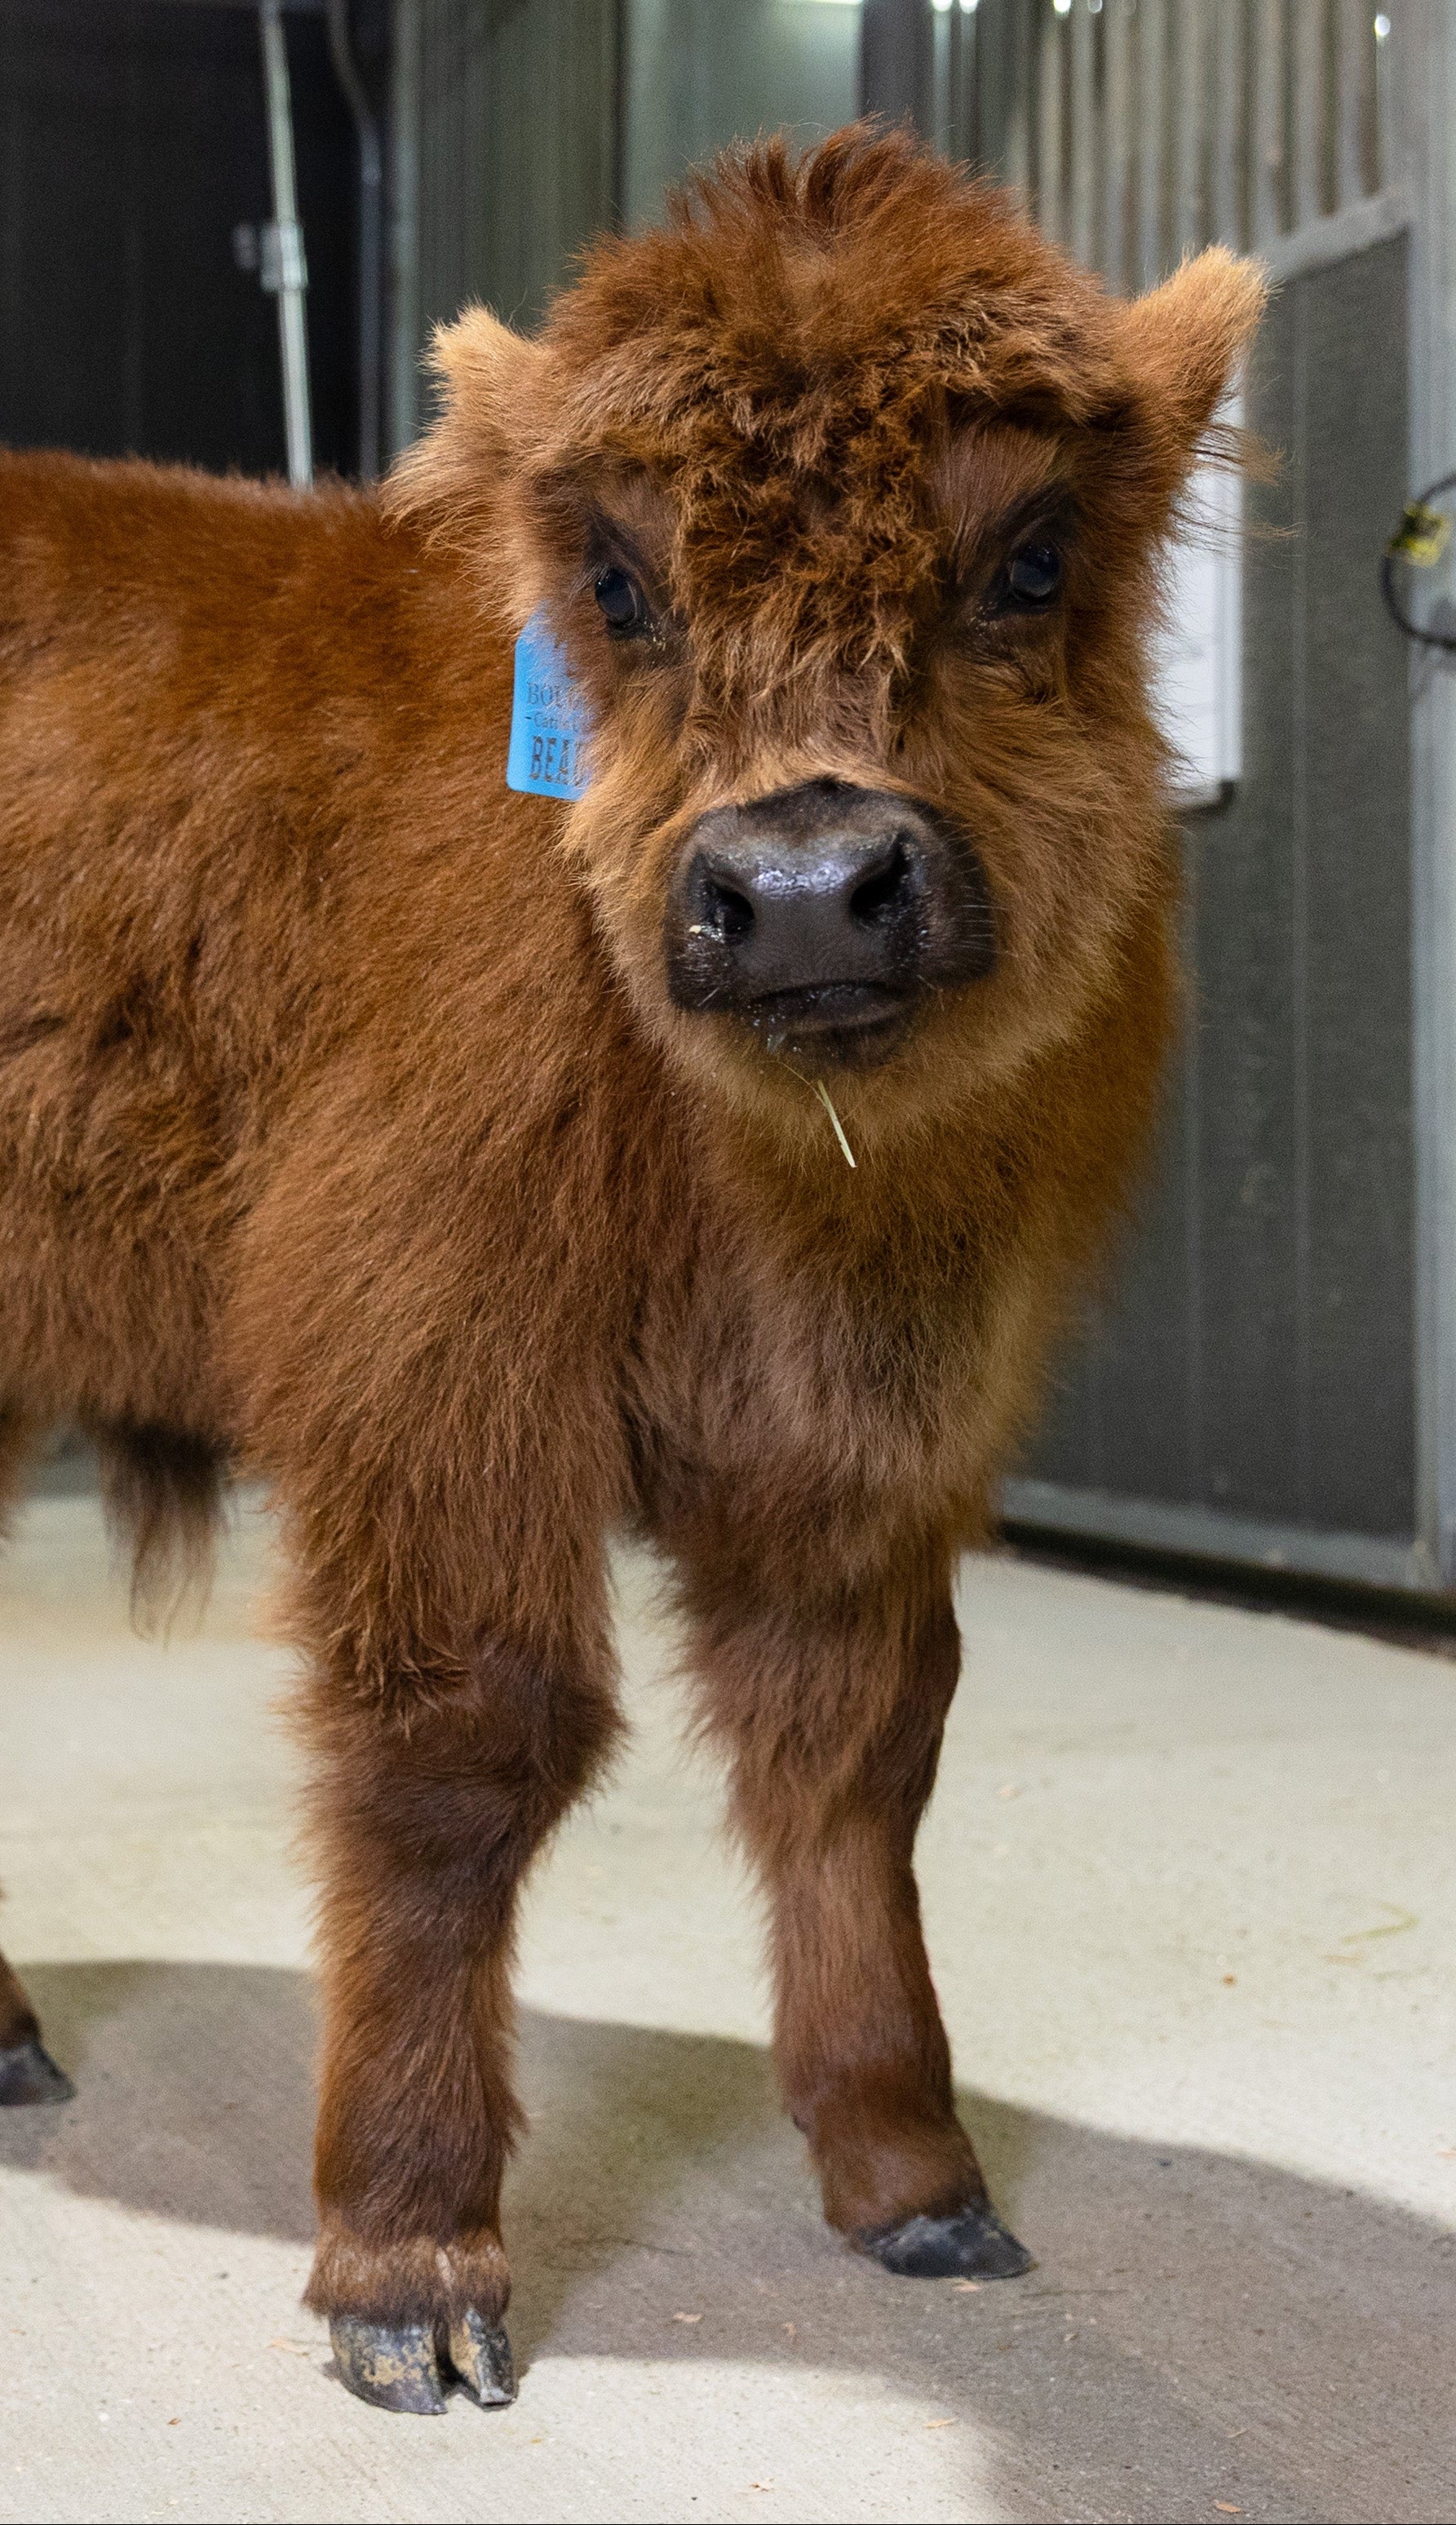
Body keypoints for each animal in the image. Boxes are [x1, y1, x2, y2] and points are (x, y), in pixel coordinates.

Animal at [0, 126, 1263, 2412]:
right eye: (615, 585)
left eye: (1032, 558)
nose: (805, 884)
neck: (796, 1213)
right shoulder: (433, 1379)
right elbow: (465, 1755)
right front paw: (406, 2271)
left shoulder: (883, 1442)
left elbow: (859, 1750)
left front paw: (915, 2177)